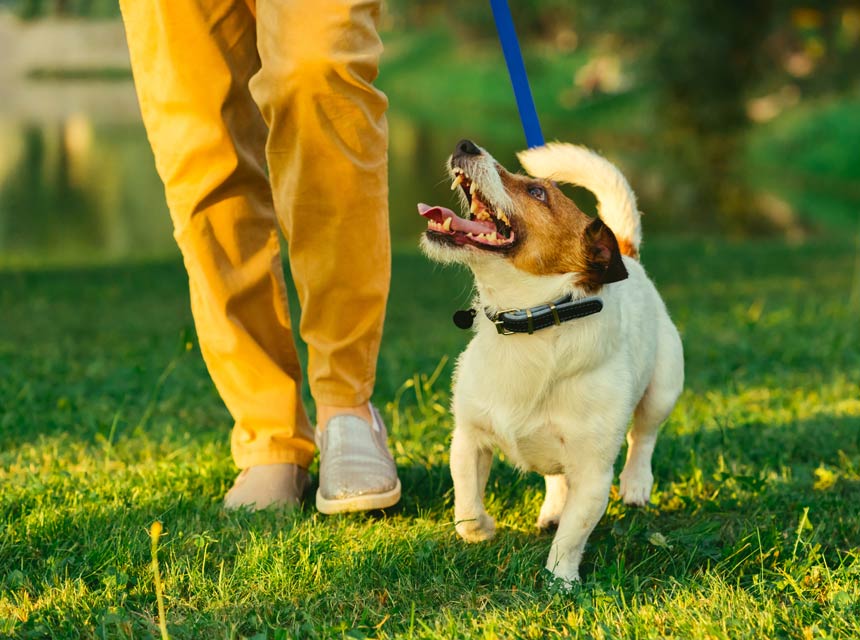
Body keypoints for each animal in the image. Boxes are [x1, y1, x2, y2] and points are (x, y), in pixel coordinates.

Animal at [418, 140, 684, 584]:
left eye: (538, 193)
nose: (465, 145)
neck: (528, 322)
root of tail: (628, 254)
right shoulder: (468, 437)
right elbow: (467, 500)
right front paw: (480, 530)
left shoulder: (594, 475)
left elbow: (573, 536)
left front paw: (561, 581)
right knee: (557, 479)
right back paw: (553, 511)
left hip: (663, 387)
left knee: (643, 435)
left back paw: (635, 485)